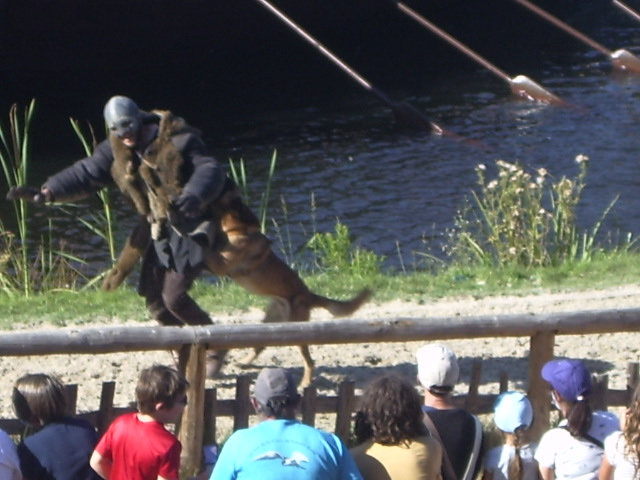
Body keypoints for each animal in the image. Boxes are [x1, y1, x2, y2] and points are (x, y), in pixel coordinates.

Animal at [103, 188, 372, 386]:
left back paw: (305, 382)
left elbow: (206, 249)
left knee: (309, 361)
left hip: (298, 329)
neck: (238, 228)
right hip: (271, 322)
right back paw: (244, 360)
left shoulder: (220, 263)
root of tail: (308, 295)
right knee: (260, 345)